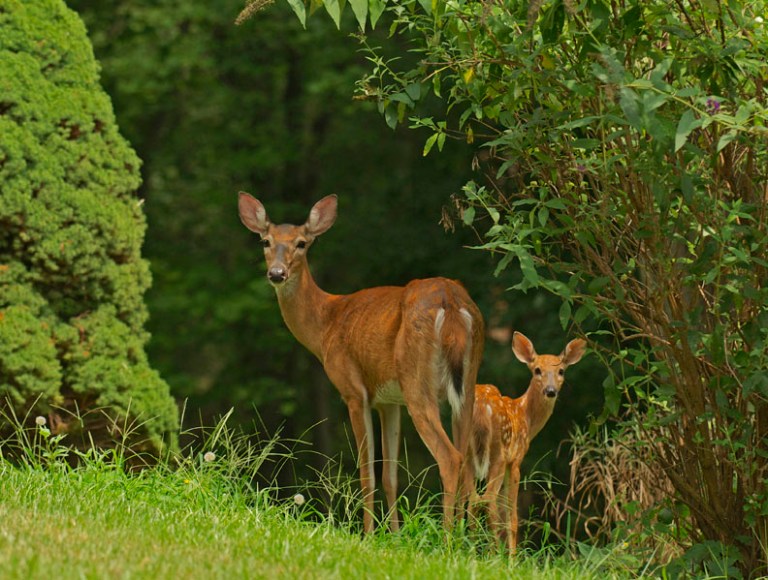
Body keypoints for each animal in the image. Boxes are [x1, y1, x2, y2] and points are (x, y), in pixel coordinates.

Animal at [237, 192, 485, 534]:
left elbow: (367, 473)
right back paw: (470, 539)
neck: (325, 323)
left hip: (417, 382)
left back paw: (448, 538)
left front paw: (368, 534)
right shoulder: (389, 401)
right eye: (265, 240)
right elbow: (390, 475)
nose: (276, 274)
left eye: (301, 243)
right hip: (466, 384)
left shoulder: (354, 391)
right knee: (469, 463)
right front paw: (395, 535)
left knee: (450, 458)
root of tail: (452, 302)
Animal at [469, 331, 586, 553]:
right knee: (487, 500)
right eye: (537, 370)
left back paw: (464, 545)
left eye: (561, 371)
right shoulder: (515, 459)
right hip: (498, 453)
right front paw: (512, 557)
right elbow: (512, 517)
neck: (524, 415)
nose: (550, 390)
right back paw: (493, 553)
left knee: (472, 499)